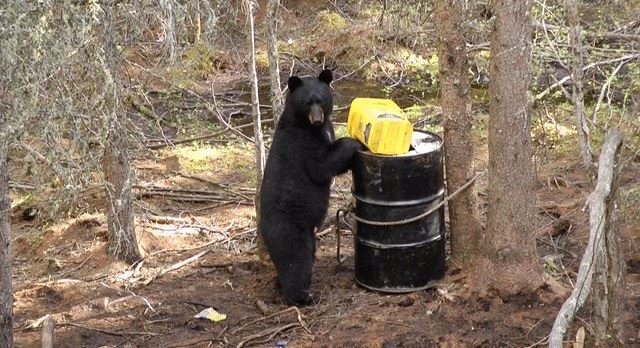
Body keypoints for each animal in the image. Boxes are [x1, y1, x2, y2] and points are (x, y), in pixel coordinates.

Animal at [258, 68, 360, 304]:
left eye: (320, 100)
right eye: (307, 102)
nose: (317, 120)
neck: (306, 125)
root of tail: (263, 229)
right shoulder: (301, 144)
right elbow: (320, 165)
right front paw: (354, 143)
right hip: (289, 227)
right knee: (296, 260)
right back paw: (302, 296)